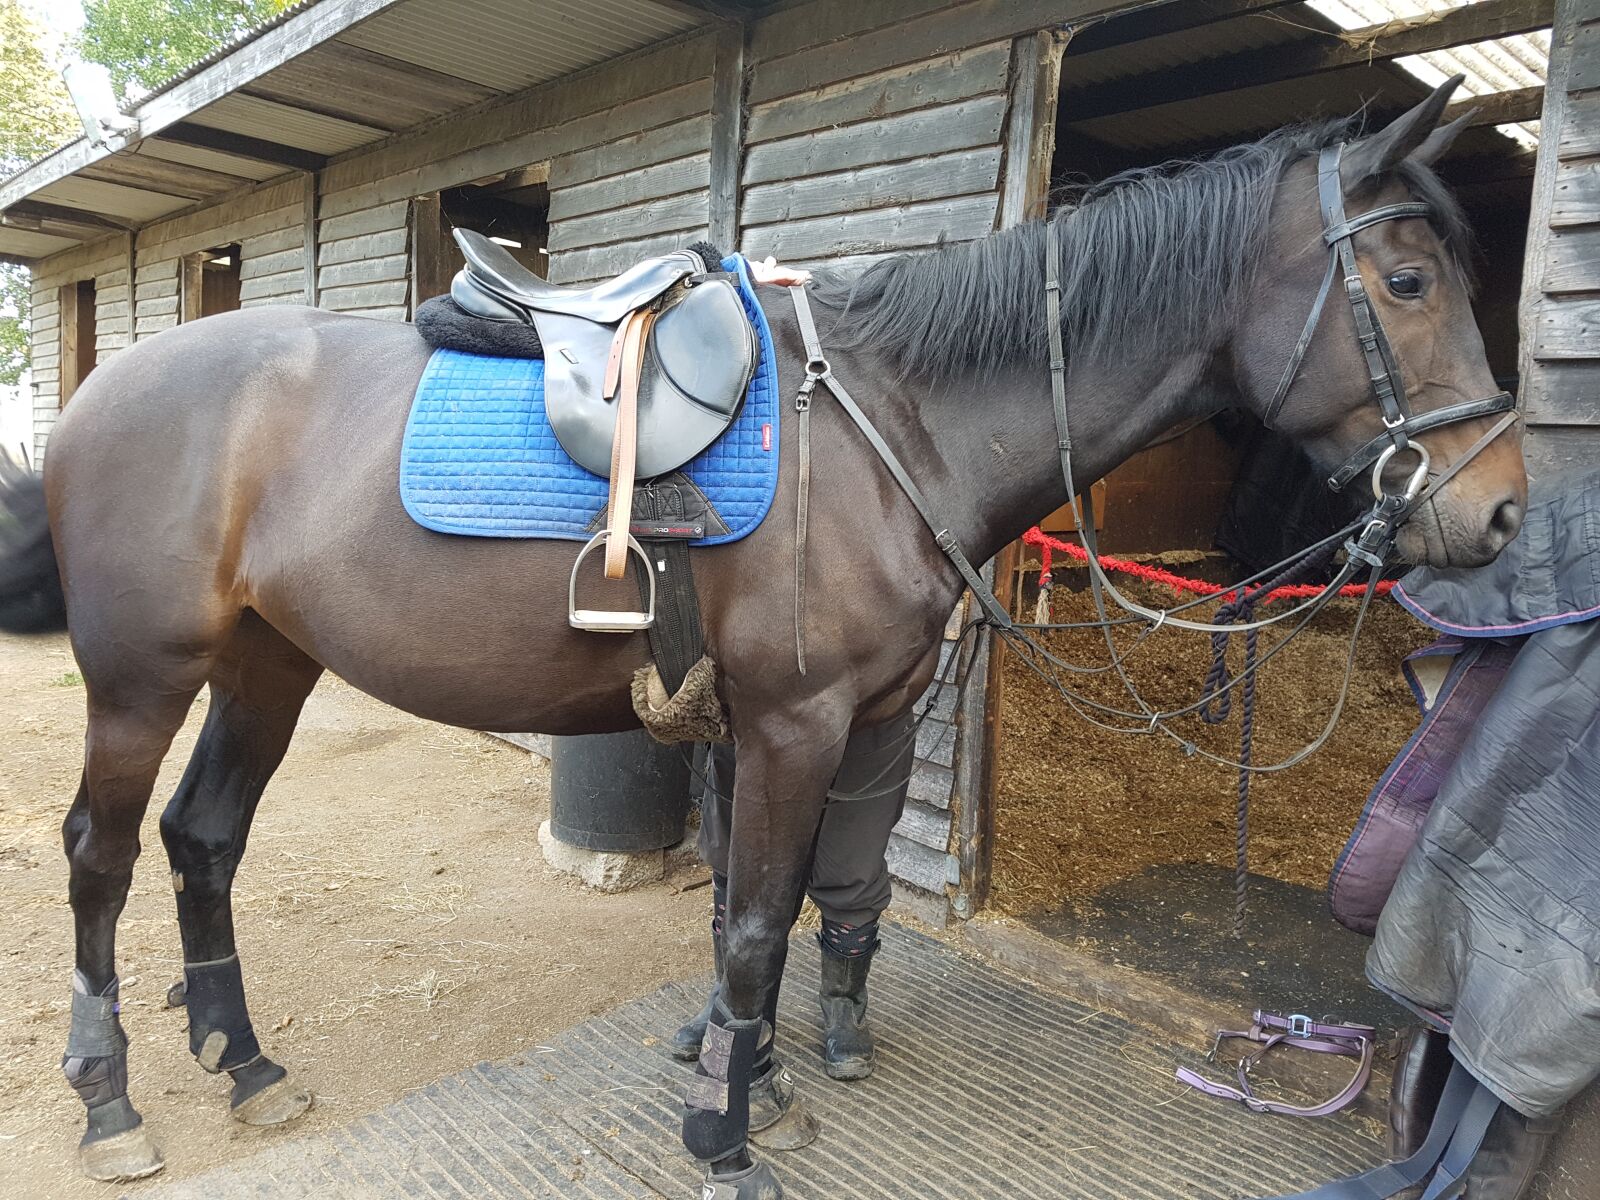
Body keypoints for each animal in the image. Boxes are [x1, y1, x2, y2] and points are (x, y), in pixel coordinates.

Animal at [0, 78, 1526, 1197]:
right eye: (1405, 281)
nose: (1500, 509)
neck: (896, 421)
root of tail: (93, 400)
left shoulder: (789, 727)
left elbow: (774, 920)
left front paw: (760, 1085)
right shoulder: (795, 724)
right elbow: (747, 931)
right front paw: (723, 1140)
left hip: (270, 659)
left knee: (204, 838)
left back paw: (243, 1064)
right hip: (141, 679)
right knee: (99, 858)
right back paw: (112, 1100)